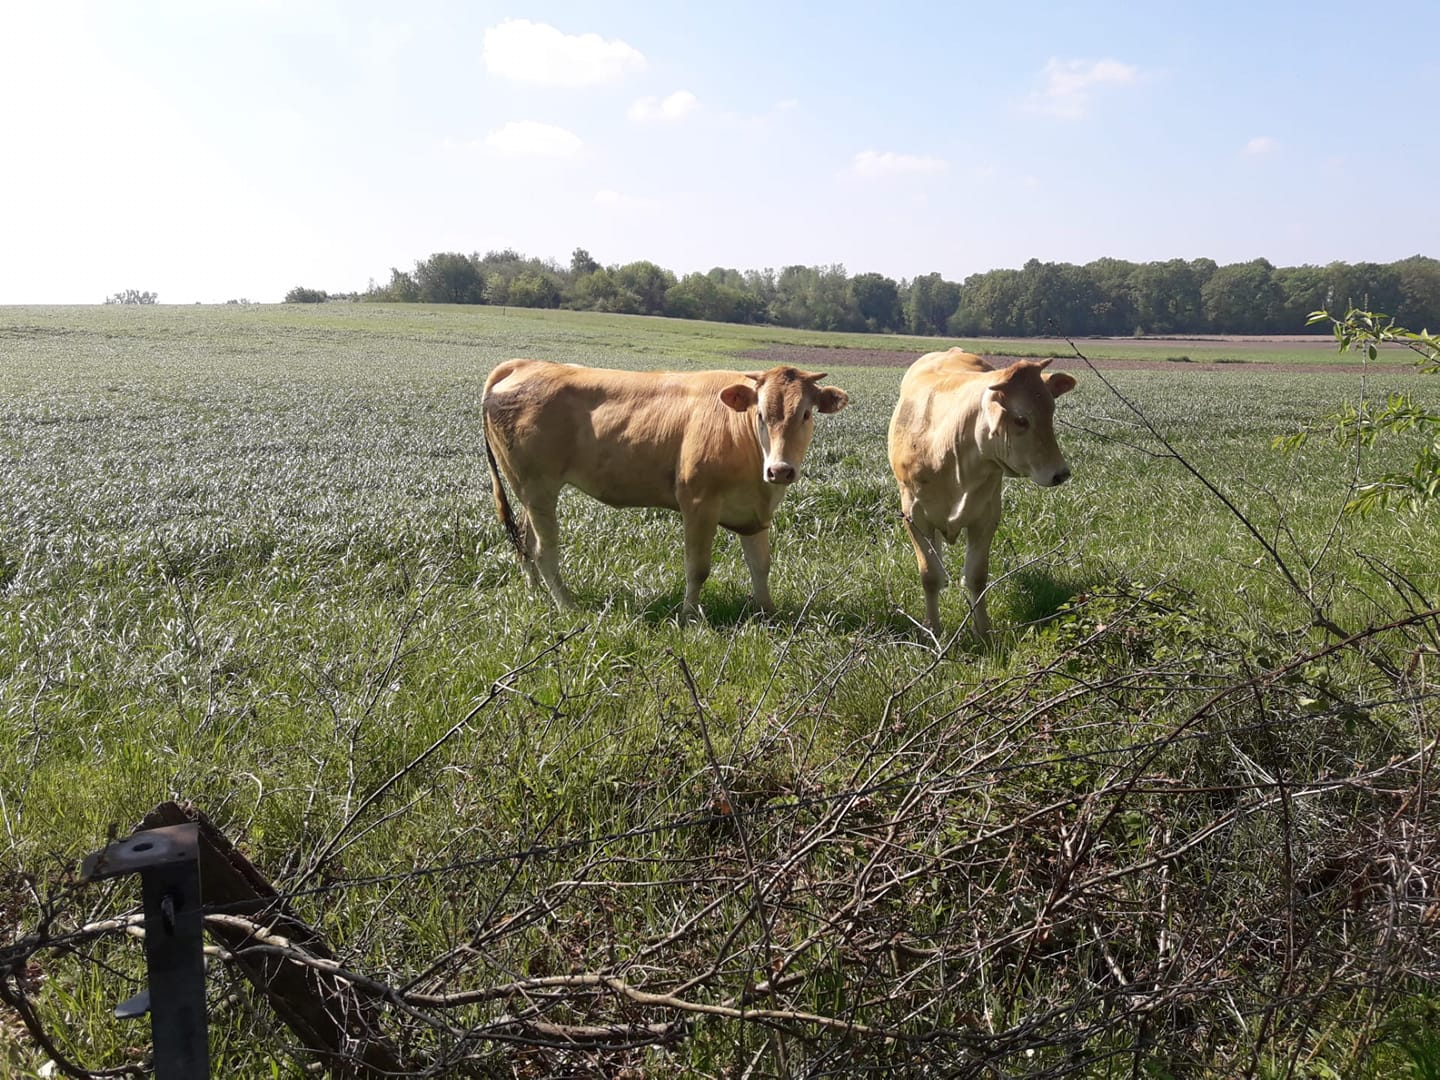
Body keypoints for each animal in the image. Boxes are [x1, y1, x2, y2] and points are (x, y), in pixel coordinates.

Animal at [482, 360, 849, 614]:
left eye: (805, 414)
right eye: (760, 414)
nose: (780, 470)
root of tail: (525, 364)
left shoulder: (755, 514)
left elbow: (761, 565)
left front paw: (768, 612)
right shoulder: (698, 503)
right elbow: (697, 567)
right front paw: (690, 615)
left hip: (528, 491)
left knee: (526, 542)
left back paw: (535, 594)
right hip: (539, 487)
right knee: (544, 550)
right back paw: (567, 606)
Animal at [887, 348, 1076, 638]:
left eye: (1050, 412)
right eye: (1021, 419)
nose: (1061, 473)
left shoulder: (986, 515)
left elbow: (977, 576)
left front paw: (983, 631)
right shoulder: (913, 514)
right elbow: (929, 574)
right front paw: (933, 629)